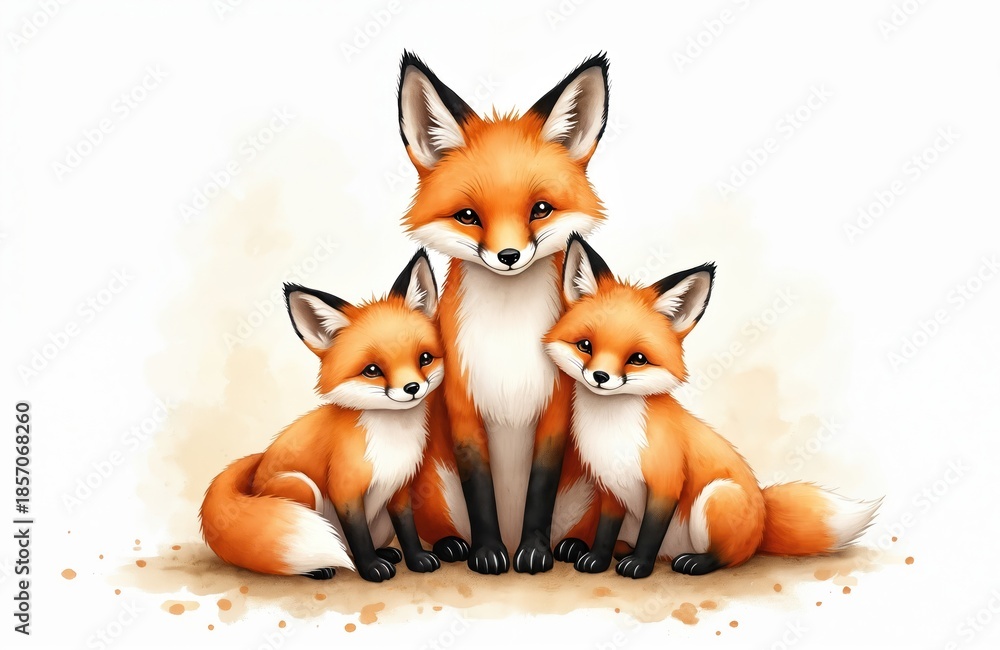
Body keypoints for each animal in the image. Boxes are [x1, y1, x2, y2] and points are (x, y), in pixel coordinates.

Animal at [200, 250, 446, 582]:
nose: (412, 388)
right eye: (372, 370)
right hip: (300, 487)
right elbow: (358, 535)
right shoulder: (344, 489)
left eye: (424, 358)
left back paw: (385, 553)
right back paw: (320, 568)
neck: (391, 439)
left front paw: (417, 559)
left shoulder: (399, 489)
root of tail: (259, 460)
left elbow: (407, 529)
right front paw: (371, 568)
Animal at [397, 52, 610, 574]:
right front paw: (488, 552)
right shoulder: (463, 403)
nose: (509, 256)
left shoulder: (554, 407)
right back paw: (451, 545)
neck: (508, 335)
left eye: (541, 209)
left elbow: (540, 489)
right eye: (468, 216)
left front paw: (533, 552)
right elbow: (480, 493)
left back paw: (570, 546)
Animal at [544, 235, 881, 578]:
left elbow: (651, 532)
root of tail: (763, 518)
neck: (612, 429)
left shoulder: (667, 483)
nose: (600, 377)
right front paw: (598, 559)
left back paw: (694, 561)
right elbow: (605, 531)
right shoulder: (612, 488)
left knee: (730, 557)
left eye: (637, 359)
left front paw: (639, 565)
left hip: (715, 497)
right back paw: (586, 547)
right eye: (585, 346)